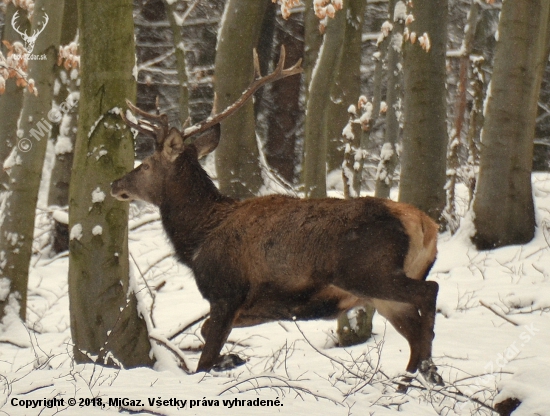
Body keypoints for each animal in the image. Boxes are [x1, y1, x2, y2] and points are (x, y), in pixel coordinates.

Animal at [111, 46, 444, 386]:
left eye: (146, 164)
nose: (115, 184)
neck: (197, 239)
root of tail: (426, 226)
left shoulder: (226, 291)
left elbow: (204, 357)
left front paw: (224, 363)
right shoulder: (258, 305)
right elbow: (206, 333)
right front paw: (232, 359)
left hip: (369, 272)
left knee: (429, 293)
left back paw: (426, 368)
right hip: (383, 296)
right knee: (414, 335)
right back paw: (417, 380)